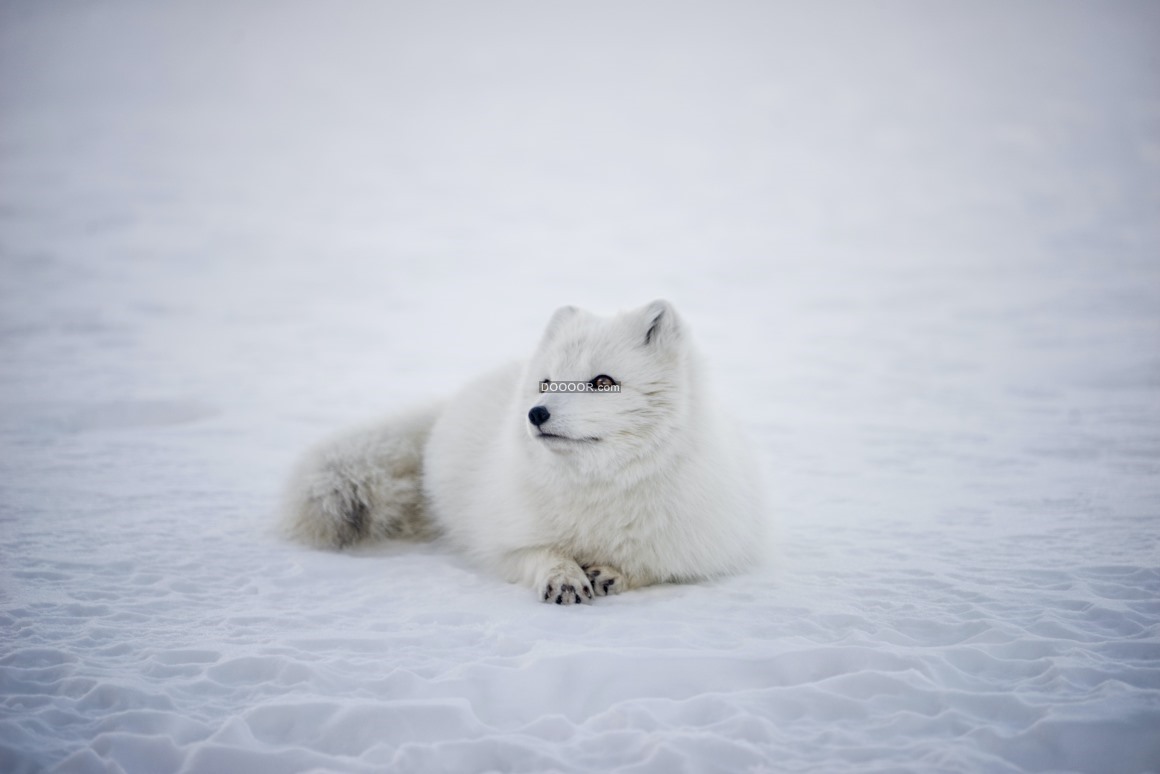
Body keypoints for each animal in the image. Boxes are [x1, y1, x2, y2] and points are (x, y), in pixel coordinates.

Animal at [284, 301, 765, 603]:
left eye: (603, 382)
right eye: (547, 382)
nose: (536, 413)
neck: (598, 489)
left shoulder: (704, 548)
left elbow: (655, 566)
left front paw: (613, 572)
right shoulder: (502, 541)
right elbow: (539, 554)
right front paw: (563, 576)